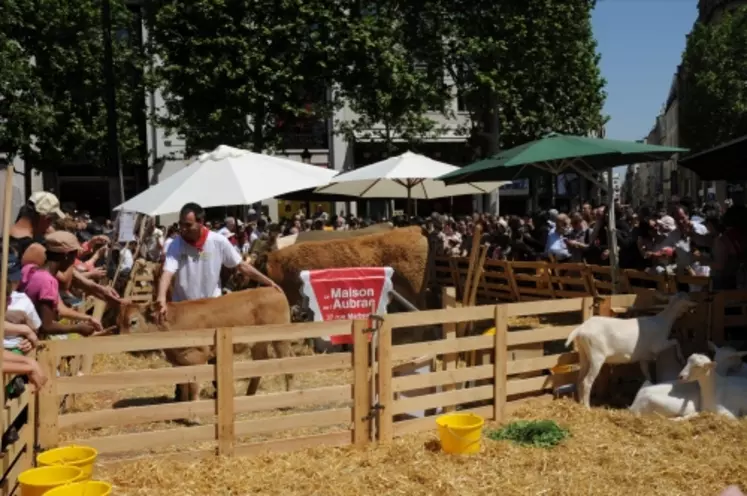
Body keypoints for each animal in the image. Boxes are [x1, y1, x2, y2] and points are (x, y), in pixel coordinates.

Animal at [116, 284, 292, 412]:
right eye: (119, 321)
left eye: (133, 321)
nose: (120, 341)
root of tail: (273, 289)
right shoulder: (180, 362)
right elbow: (184, 387)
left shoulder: (198, 357)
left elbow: (194, 386)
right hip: (258, 344)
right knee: (259, 365)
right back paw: (250, 397)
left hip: (280, 340)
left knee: (288, 365)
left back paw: (288, 400)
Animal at [568, 292, 700, 404]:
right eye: (687, 299)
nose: (695, 305)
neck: (663, 322)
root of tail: (580, 329)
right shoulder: (657, 345)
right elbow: (675, 341)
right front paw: (681, 358)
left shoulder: (643, 357)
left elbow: (647, 374)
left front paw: (649, 385)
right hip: (597, 355)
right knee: (586, 382)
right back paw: (587, 406)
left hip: (584, 354)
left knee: (579, 379)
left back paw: (580, 403)